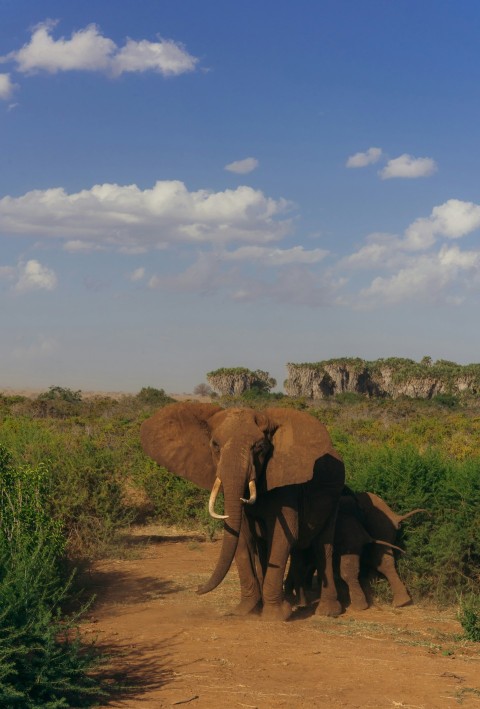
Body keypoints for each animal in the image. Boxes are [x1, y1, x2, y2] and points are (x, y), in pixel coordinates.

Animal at [140, 402, 345, 620]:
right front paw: (245, 611)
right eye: (215, 445)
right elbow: (241, 536)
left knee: (323, 546)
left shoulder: (287, 483)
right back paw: (296, 603)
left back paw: (327, 611)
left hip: (335, 496)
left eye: (260, 447)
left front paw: (275, 615)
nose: (197, 589)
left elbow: (284, 536)